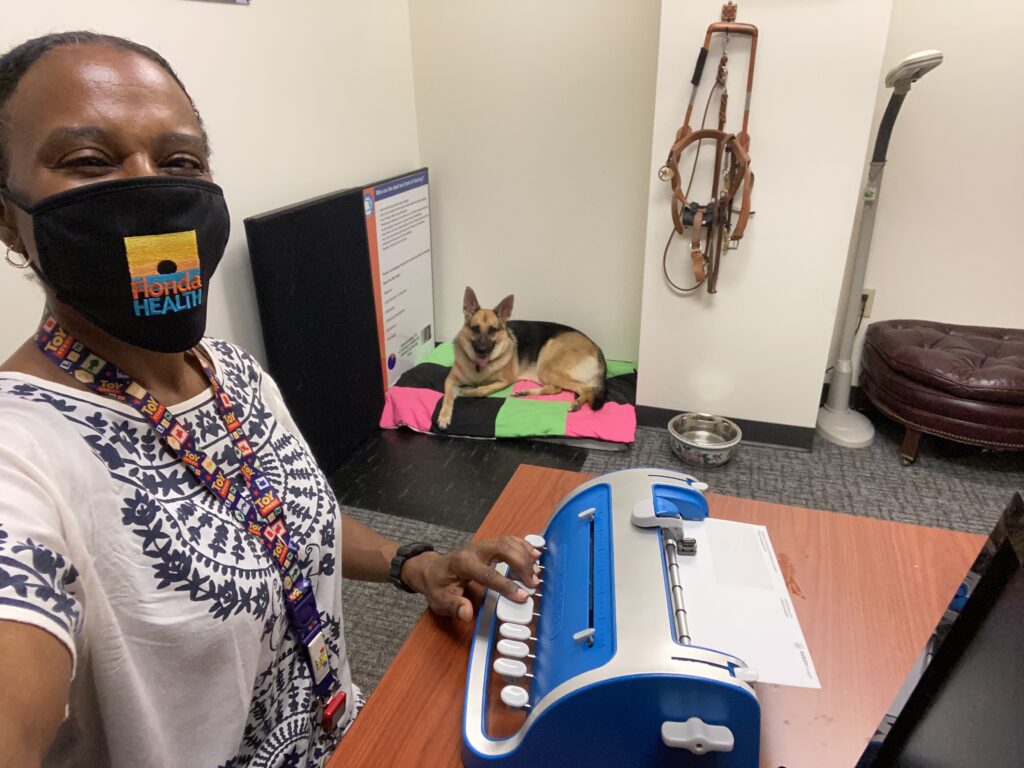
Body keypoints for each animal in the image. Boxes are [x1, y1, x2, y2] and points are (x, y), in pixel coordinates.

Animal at [434, 288, 606, 434]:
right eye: (475, 329)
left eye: (492, 330)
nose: (482, 350)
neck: (479, 368)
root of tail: (597, 348)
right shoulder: (450, 379)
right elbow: (447, 396)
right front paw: (444, 416)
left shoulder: (506, 380)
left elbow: (482, 390)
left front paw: (467, 391)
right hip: (545, 374)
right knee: (556, 389)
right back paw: (525, 392)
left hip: (547, 366)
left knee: (587, 389)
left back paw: (576, 403)